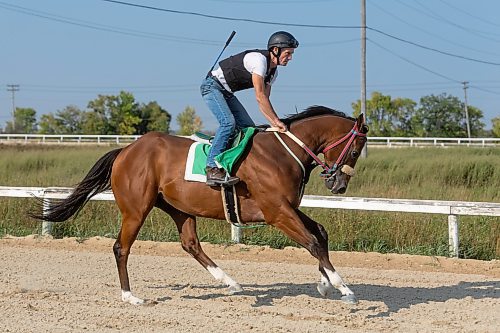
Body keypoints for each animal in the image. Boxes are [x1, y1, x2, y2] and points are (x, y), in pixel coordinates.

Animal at [32, 105, 368, 304]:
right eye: (356, 150)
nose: (338, 185)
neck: (282, 152)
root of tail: (126, 150)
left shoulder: (287, 208)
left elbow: (320, 233)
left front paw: (325, 284)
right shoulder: (277, 213)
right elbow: (312, 241)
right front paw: (344, 288)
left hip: (179, 208)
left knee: (190, 244)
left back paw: (231, 282)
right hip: (136, 209)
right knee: (121, 247)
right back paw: (130, 296)